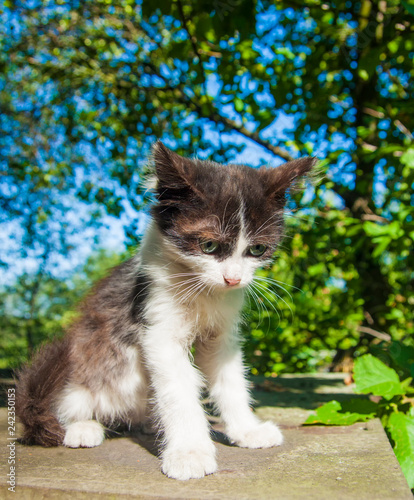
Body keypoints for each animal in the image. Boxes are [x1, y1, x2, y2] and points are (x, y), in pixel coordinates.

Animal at [14, 142, 316, 480]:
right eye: (208, 246)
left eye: (257, 249)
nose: (233, 279)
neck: (204, 291)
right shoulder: (158, 326)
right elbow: (179, 391)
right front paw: (190, 452)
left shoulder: (222, 337)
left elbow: (231, 381)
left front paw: (246, 430)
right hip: (81, 366)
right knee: (69, 403)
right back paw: (82, 428)